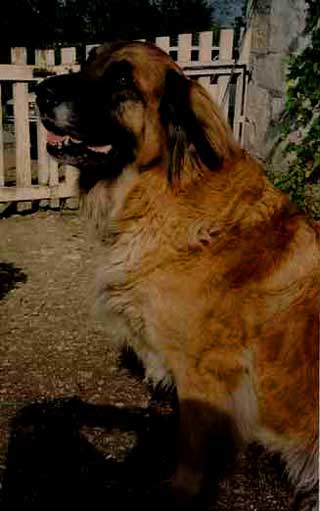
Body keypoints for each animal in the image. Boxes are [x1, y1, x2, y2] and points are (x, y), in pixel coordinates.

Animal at [35, 42, 320, 510]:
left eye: (121, 80)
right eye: (88, 60)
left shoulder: (201, 374)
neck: (158, 196)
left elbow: (191, 449)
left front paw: (179, 492)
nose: (41, 91)